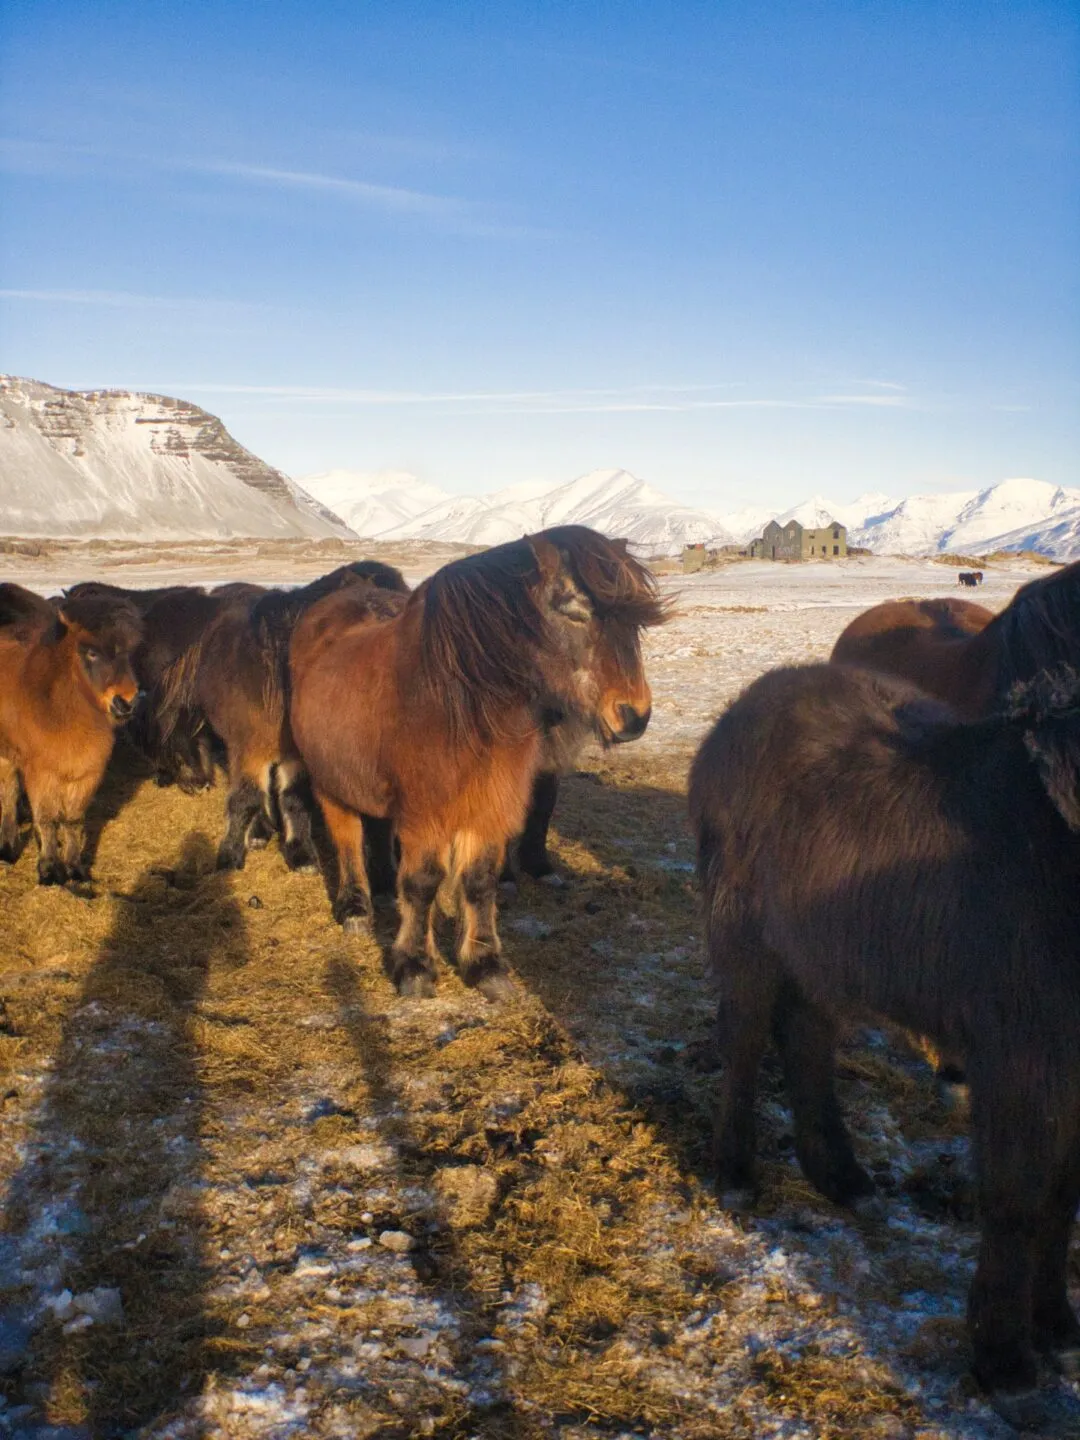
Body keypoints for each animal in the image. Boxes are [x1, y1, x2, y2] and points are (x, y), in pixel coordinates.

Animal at [0, 584, 142, 887]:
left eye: (129, 652)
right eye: (91, 653)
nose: (126, 703)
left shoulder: (87, 773)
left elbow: (73, 821)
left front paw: (75, 869)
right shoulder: (42, 774)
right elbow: (47, 820)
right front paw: (49, 869)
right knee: (8, 794)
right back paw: (7, 848)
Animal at [158, 562, 408, 873]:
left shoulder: (295, 757)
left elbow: (294, 798)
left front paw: (301, 854)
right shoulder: (250, 749)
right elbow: (245, 799)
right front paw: (230, 856)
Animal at [290, 526, 666, 1000]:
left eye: (635, 621)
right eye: (574, 611)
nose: (634, 715)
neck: (460, 707)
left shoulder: (490, 805)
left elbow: (481, 880)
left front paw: (484, 965)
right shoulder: (426, 816)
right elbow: (422, 884)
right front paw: (414, 966)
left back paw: (381, 890)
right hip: (331, 782)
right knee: (347, 840)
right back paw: (355, 907)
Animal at [689, 662, 1080, 1426]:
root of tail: (740, 708)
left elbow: (1063, 1198)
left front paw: (1056, 1328)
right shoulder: (1022, 1061)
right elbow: (1021, 1197)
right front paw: (1005, 1360)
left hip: (820, 948)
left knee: (806, 1038)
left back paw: (840, 1177)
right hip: (746, 935)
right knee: (744, 1041)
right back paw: (736, 1173)